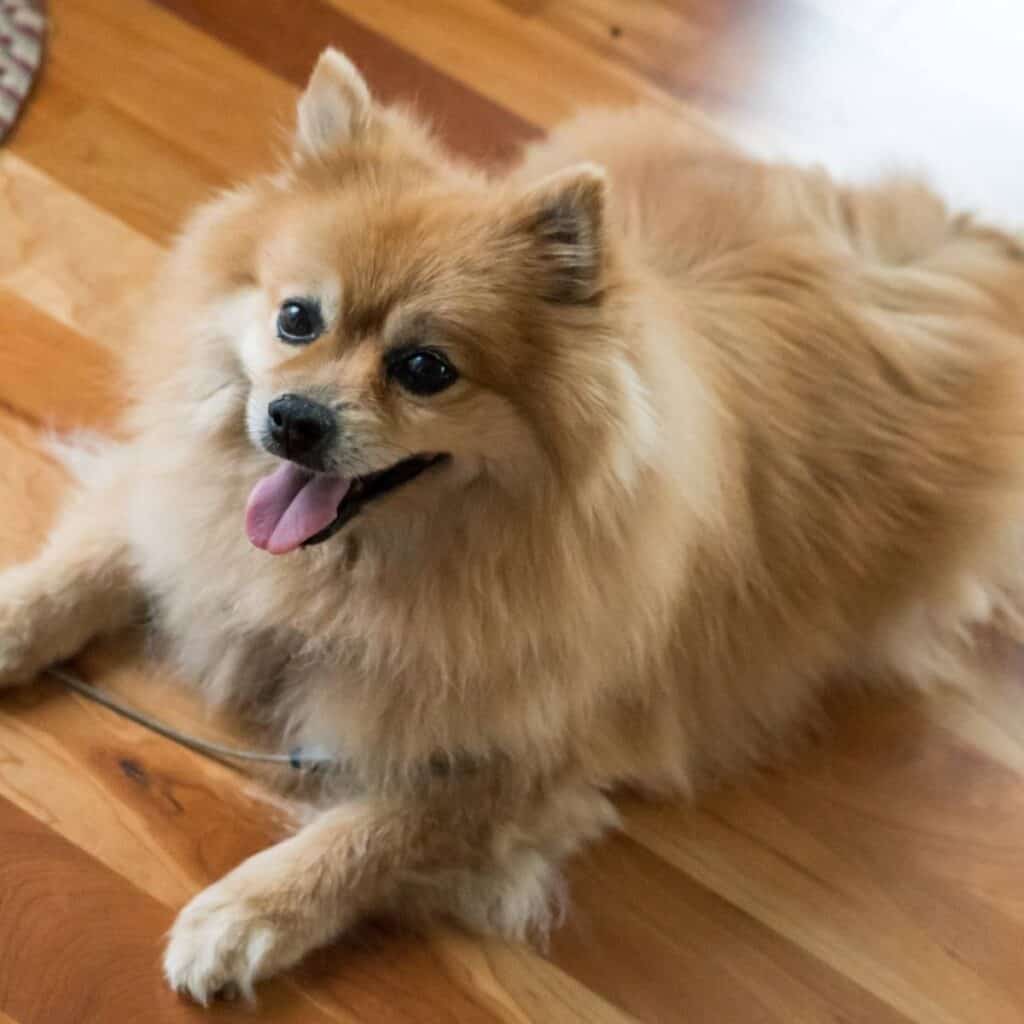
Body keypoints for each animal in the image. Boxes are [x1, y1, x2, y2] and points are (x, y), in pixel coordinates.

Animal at [2, 46, 1024, 999]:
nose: (293, 418)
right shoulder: (178, 513)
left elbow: (372, 829)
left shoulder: (523, 759)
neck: (345, 570)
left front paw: (246, 913)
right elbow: (89, 563)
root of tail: (938, 246)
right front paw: (14, 624)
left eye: (424, 369)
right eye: (297, 318)